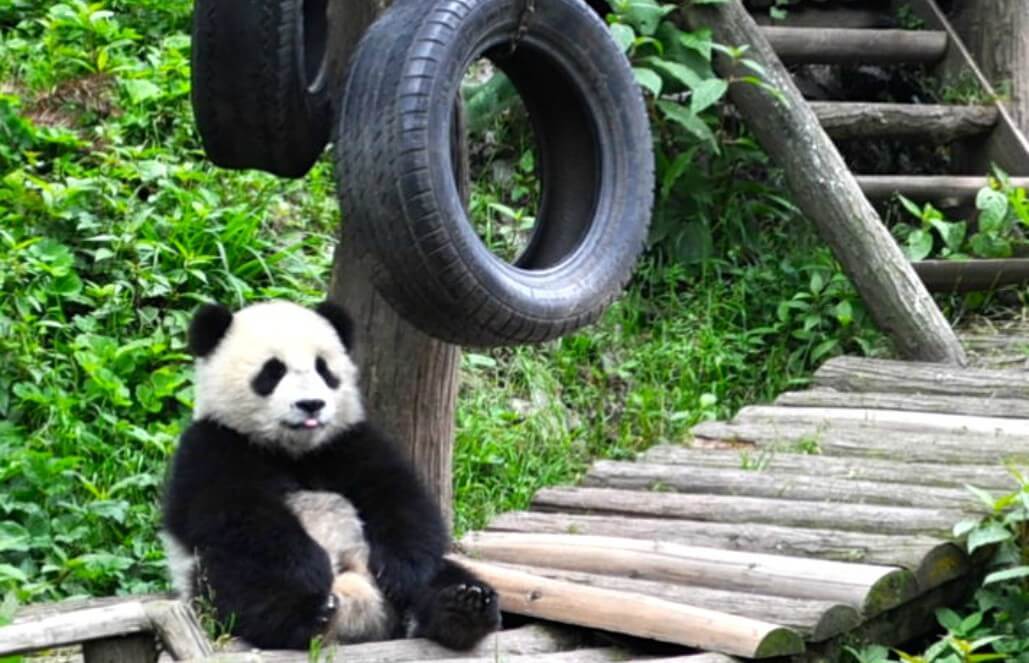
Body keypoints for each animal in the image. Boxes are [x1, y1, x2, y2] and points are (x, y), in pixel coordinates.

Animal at [161, 302, 502, 650]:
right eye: (273, 371)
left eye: (323, 369)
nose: (311, 404)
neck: (292, 451)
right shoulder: (213, 447)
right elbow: (241, 518)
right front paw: (311, 569)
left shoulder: (346, 443)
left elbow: (401, 499)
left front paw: (400, 569)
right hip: (204, 577)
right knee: (239, 585)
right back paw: (305, 614)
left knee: (441, 576)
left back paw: (463, 607)